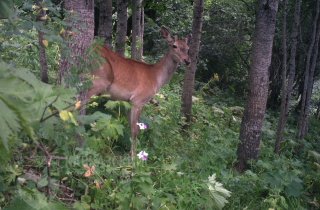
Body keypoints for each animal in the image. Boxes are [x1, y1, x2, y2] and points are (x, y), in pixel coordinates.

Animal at [84, 25, 191, 158]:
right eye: (174, 45)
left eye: (188, 48)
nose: (187, 61)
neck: (156, 77)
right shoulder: (138, 100)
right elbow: (135, 129)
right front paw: (134, 157)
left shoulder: (129, 101)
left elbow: (130, 127)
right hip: (98, 80)